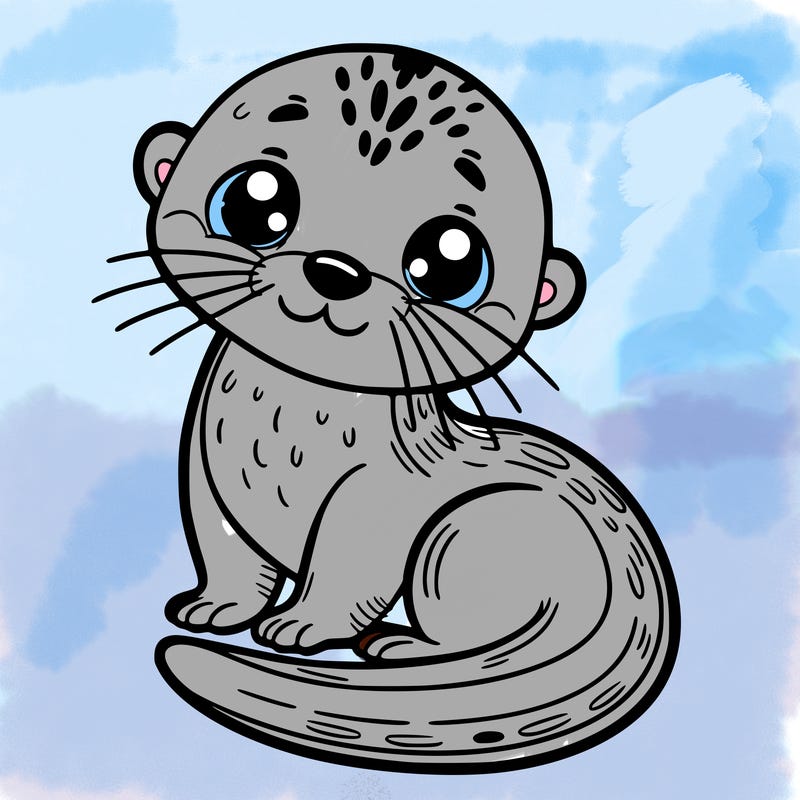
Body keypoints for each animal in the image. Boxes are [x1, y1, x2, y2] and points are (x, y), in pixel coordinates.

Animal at [103, 44, 679, 773]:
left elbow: (349, 568)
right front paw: (215, 607)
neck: (283, 433)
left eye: (450, 262)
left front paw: (301, 625)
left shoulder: (378, 497)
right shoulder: (207, 471)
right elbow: (225, 550)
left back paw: (402, 646)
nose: (335, 269)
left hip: (468, 532)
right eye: (254, 200)